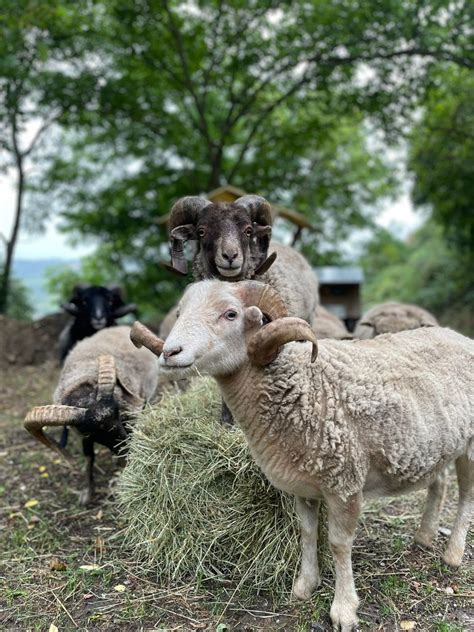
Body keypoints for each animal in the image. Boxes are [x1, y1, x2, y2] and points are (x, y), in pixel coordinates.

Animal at [24, 326, 157, 504]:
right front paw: (87, 493)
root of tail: (119, 327)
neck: (82, 389)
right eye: (88, 432)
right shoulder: (84, 438)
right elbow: (89, 458)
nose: (125, 449)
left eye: (117, 413)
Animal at [131, 282, 474, 632]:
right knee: (439, 483)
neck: (302, 385)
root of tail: (459, 336)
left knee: (466, 496)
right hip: (434, 445)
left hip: (469, 447)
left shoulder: (344, 483)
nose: (169, 353)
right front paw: (305, 586)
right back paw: (424, 537)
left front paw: (344, 609)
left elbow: (338, 543)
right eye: (180, 311)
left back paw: (452, 554)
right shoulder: (302, 486)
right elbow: (307, 533)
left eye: (231, 314)